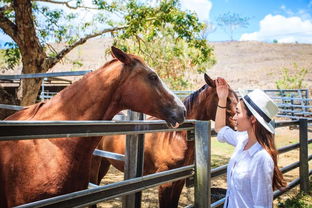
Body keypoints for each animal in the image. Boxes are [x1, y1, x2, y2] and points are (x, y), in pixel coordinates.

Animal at [90, 74, 239, 208]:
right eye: (226, 99)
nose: (238, 121)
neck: (175, 136)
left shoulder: (178, 180)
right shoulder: (165, 181)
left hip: (105, 162)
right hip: (96, 162)